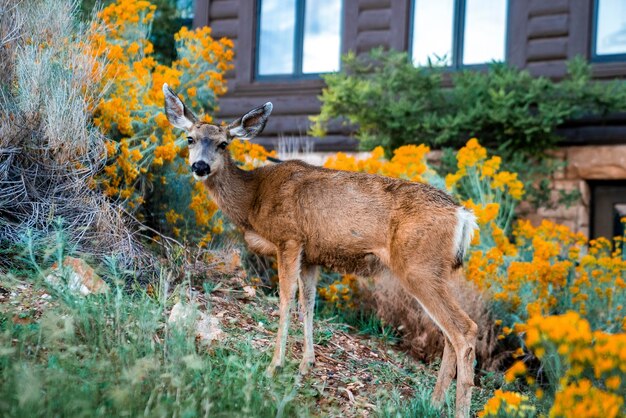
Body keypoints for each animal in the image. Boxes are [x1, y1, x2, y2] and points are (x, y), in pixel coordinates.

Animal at [161, 83, 478, 416]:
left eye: (223, 144)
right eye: (190, 138)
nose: (200, 166)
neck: (252, 199)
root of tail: (463, 215)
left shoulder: (289, 238)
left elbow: (285, 299)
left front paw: (275, 365)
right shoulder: (310, 255)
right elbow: (308, 304)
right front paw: (306, 364)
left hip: (418, 266)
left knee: (464, 330)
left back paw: (458, 408)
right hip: (437, 270)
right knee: (448, 334)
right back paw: (434, 403)